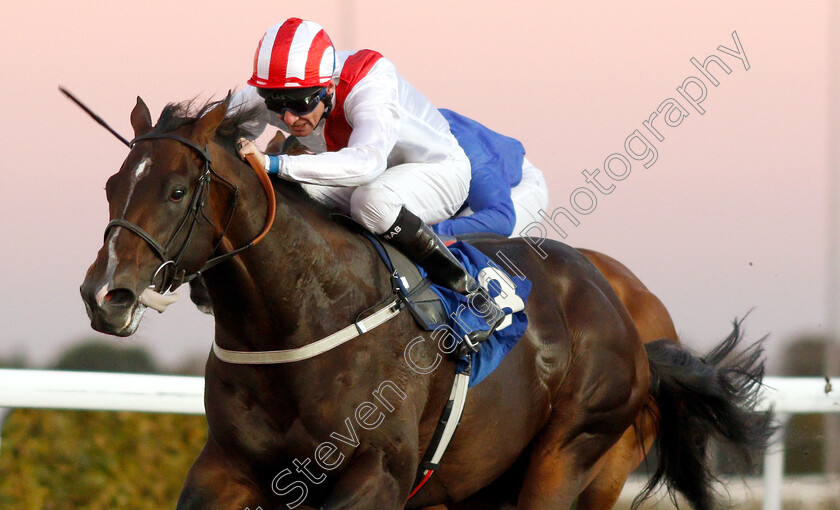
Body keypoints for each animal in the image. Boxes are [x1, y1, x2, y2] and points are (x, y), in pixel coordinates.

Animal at [82, 96, 772, 510]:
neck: (296, 320)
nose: (105, 294)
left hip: (573, 455)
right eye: (113, 184)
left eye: (177, 190)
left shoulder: (377, 475)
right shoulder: (227, 468)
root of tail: (630, 323)